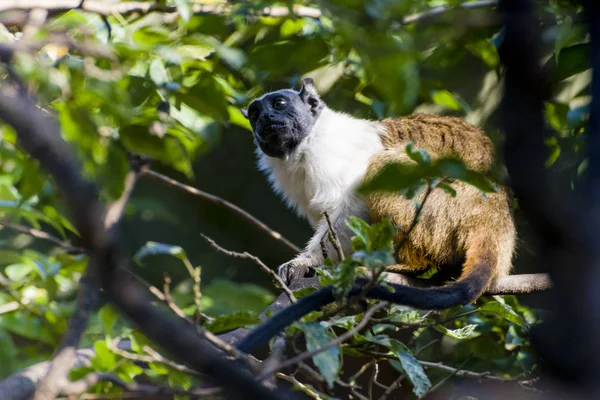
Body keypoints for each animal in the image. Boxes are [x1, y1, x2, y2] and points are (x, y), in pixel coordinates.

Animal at [237, 78, 516, 354]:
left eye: (279, 104)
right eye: (255, 114)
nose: (265, 118)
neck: (306, 144)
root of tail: (492, 216)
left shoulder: (332, 156)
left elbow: (351, 210)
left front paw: (305, 263)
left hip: (447, 204)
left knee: (383, 164)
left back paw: (415, 265)